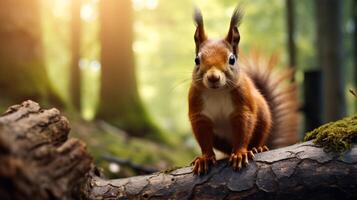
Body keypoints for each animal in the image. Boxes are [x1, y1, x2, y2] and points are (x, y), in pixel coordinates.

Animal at [188, 7, 298, 174]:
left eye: (232, 59)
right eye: (196, 60)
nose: (213, 77)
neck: (217, 92)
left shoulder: (242, 106)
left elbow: (243, 129)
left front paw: (240, 154)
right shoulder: (199, 113)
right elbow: (204, 138)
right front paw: (205, 158)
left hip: (263, 119)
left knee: (256, 140)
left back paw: (257, 149)